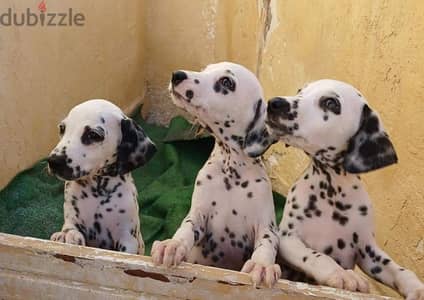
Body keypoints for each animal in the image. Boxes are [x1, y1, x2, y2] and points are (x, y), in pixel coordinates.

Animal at [48, 99, 157, 254]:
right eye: (62, 128)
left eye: (93, 135)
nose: (53, 161)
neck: (97, 190)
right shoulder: (72, 219)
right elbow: (70, 230)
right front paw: (67, 236)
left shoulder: (128, 239)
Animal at [150, 62, 282, 288]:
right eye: (204, 70)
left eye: (226, 82)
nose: (177, 75)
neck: (231, 172)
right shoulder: (199, 215)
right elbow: (186, 228)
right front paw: (173, 245)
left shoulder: (266, 226)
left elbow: (266, 244)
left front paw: (262, 266)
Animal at [258, 78, 424, 298]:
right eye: (300, 91)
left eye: (331, 103)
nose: (275, 103)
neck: (332, 191)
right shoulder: (287, 239)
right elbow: (316, 256)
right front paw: (342, 275)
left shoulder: (369, 252)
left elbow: (400, 270)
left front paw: (417, 288)